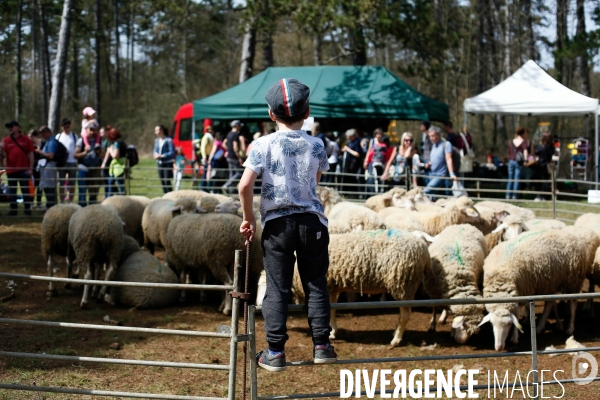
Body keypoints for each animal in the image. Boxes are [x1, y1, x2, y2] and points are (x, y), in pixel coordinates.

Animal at [290, 228, 432, 346]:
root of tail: (422, 245)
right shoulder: (332, 288)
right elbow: (332, 310)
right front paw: (333, 331)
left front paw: (330, 333)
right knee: (402, 313)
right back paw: (395, 332)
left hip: (404, 283)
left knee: (406, 314)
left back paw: (396, 339)